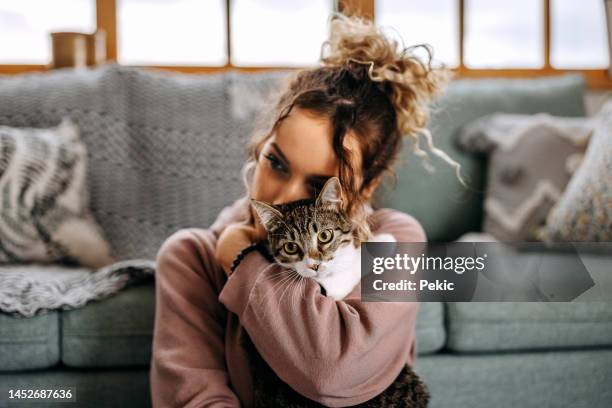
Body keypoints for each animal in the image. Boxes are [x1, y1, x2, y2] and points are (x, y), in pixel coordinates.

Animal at [250, 177, 396, 302]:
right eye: (290, 247)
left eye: (324, 236)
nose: (314, 265)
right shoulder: (330, 289)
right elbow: (352, 268)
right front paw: (382, 242)